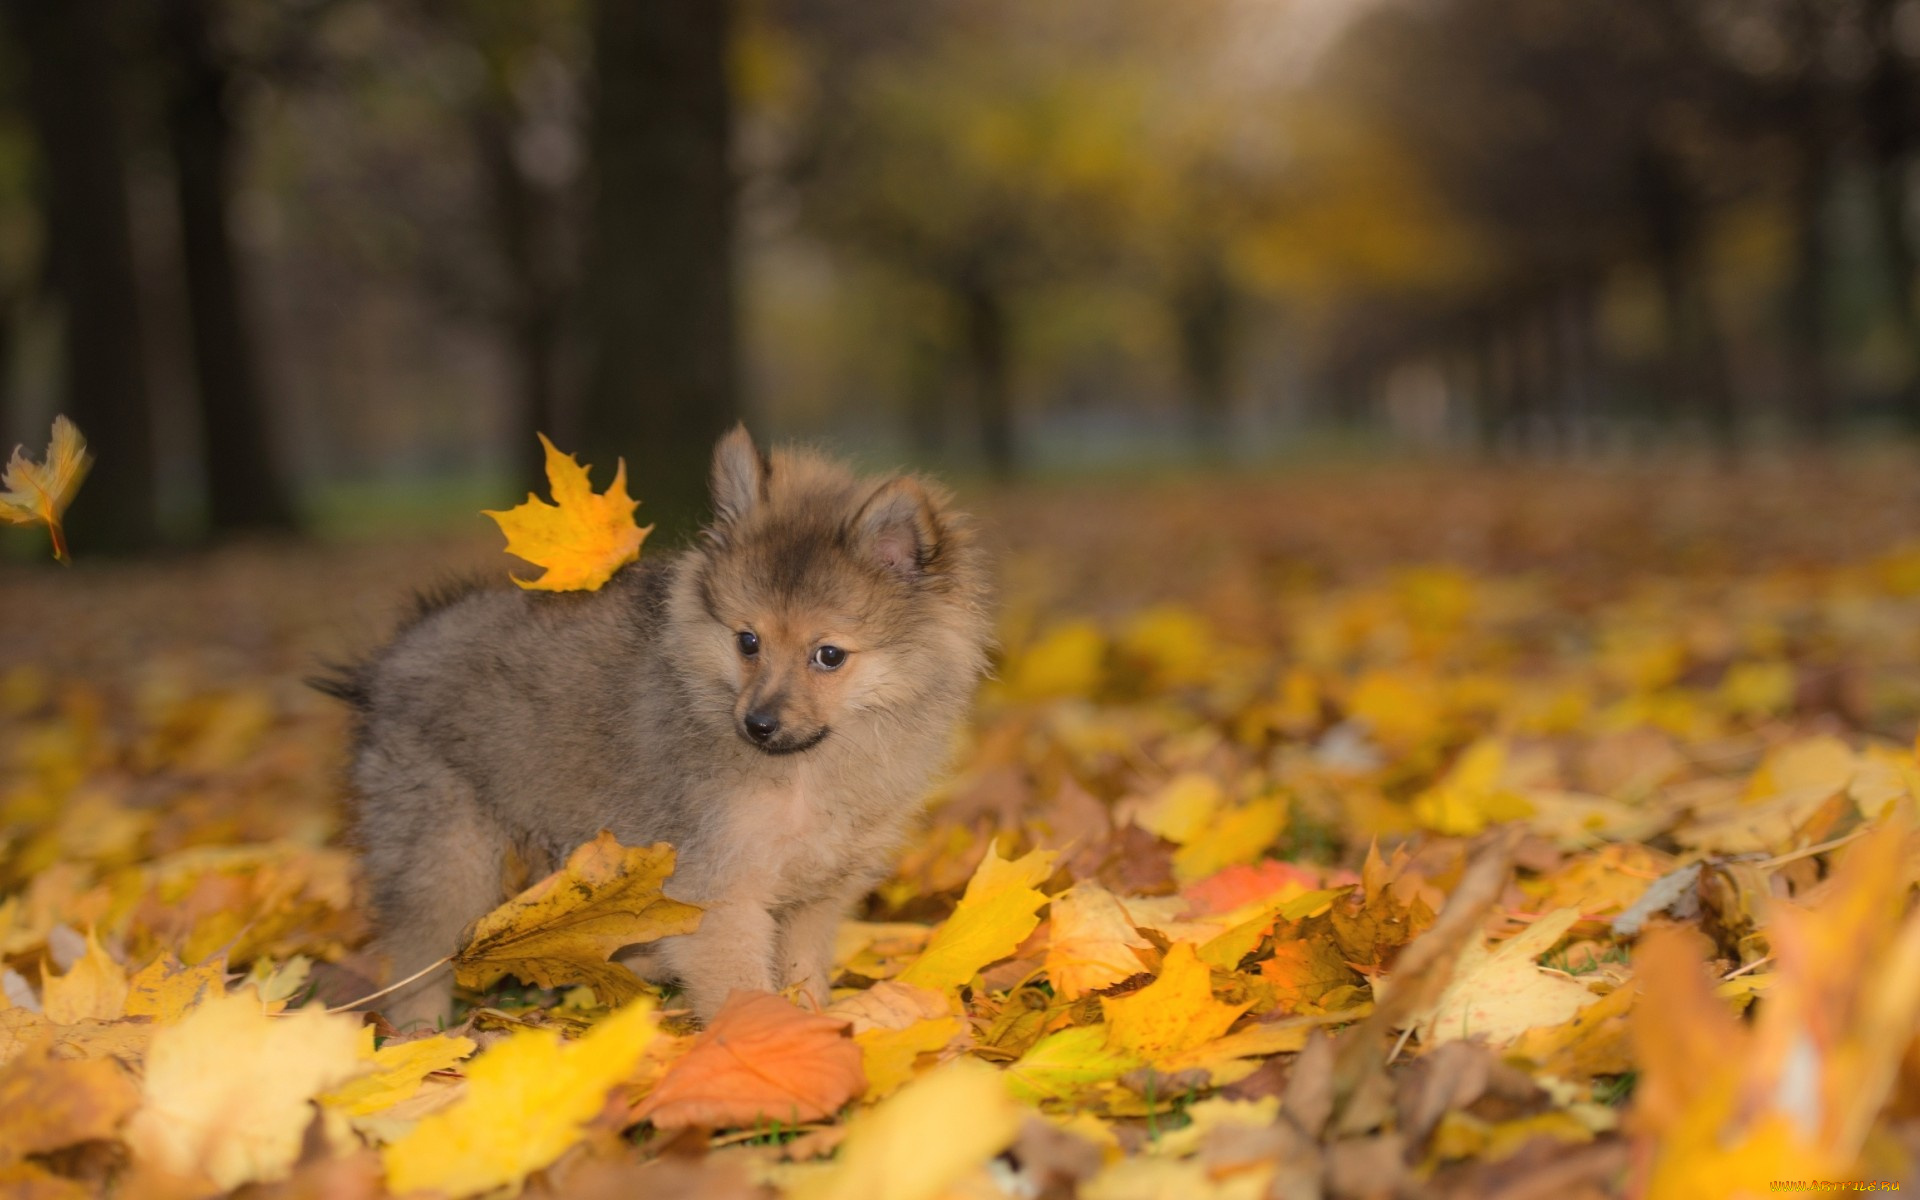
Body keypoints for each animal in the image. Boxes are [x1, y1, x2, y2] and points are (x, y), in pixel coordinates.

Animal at [324, 424, 990, 1021]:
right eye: (747, 641)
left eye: (828, 655)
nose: (758, 724)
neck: (810, 770)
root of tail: (387, 665)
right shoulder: (719, 891)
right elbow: (742, 989)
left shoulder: (816, 895)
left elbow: (803, 975)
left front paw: (819, 1030)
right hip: (445, 860)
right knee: (417, 963)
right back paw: (418, 1039)